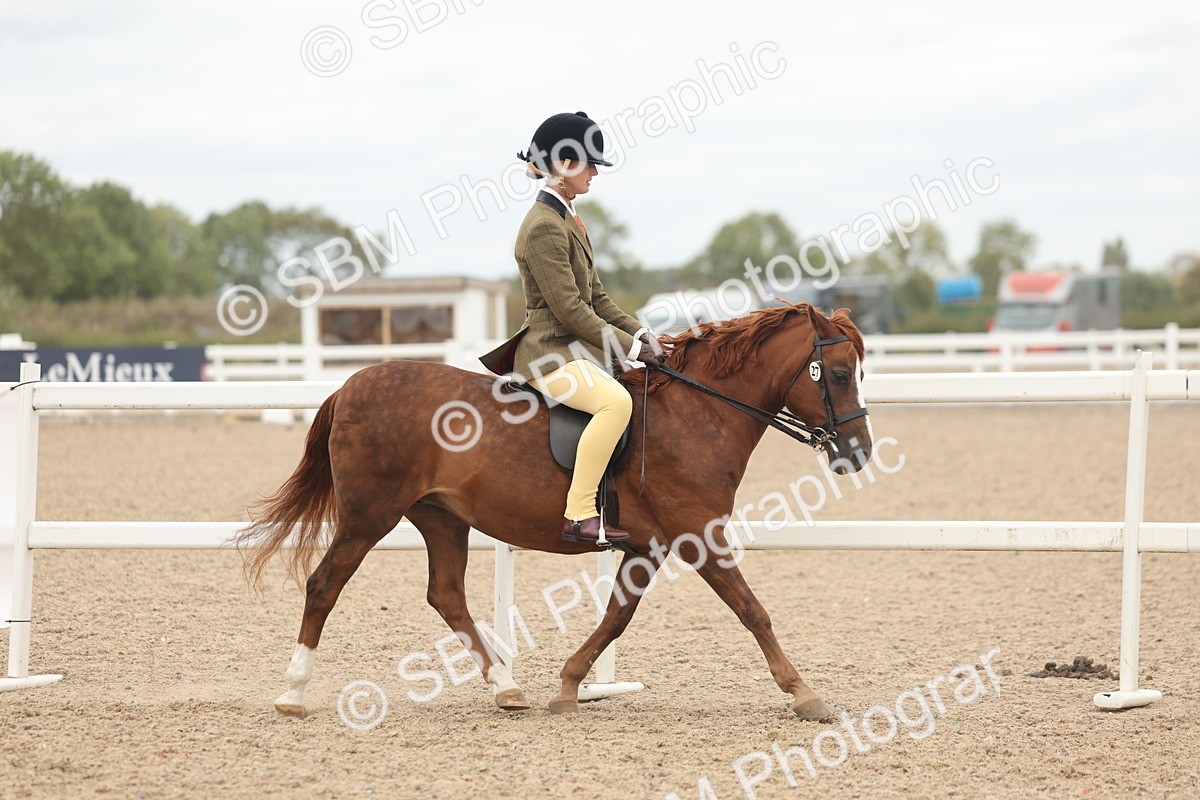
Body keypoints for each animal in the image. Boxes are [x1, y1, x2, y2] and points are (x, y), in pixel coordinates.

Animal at [237, 302, 873, 720]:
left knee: (446, 596)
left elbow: (617, 616)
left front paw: (568, 687)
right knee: (325, 584)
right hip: (370, 515)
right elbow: (752, 610)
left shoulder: (648, 546)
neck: (698, 414)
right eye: (840, 374)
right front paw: (805, 694)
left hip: (441, 518)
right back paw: (292, 693)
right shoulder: (698, 536)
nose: (859, 452)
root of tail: (350, 386)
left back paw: (505, 688)